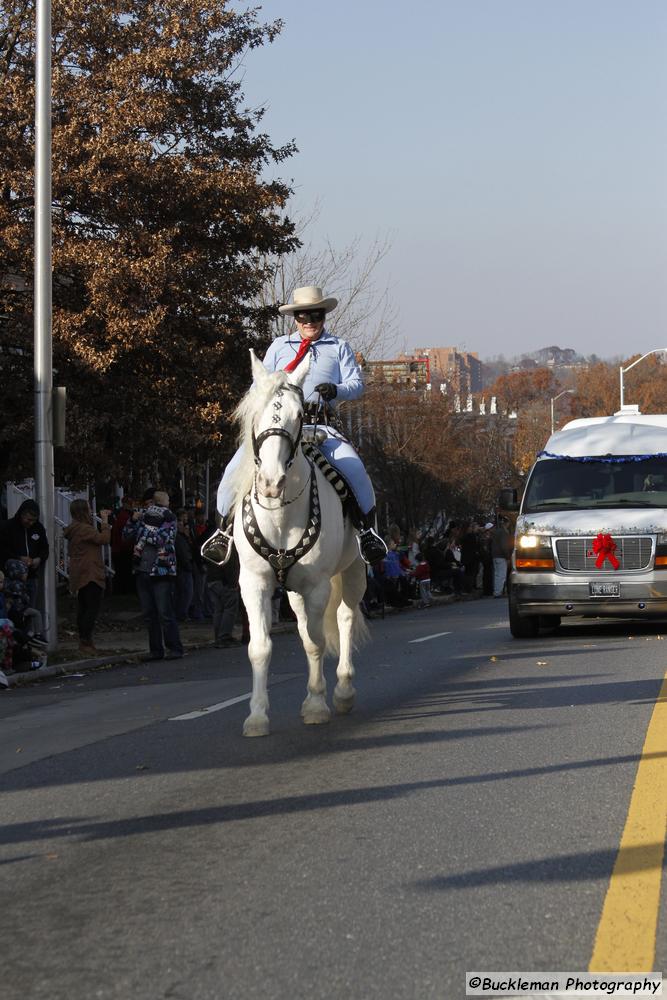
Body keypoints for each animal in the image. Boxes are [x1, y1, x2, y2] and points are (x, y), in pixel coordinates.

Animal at [227, 350, 368, 736]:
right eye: (256, 413)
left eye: (298, 415)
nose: (271, 482)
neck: (280, 513)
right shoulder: (254, 583)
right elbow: (260, 647)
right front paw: (257, 716)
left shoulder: (318, 585)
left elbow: (315, 643)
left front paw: (316, 704)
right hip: (292, 590)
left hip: (353, 570)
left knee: (345, 616)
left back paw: (345, 691)